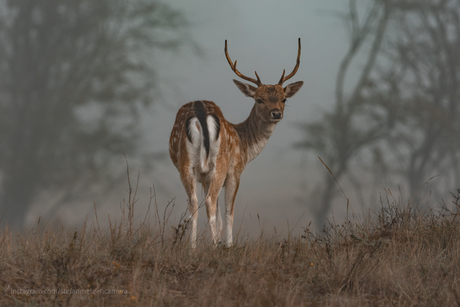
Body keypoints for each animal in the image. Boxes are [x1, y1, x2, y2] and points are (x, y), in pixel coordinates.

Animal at [169, 39, 306, 250]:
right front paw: (227, 245)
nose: (276, 113)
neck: (244, 144)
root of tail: (200, 111)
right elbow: (228, 213)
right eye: (259, 99)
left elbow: (216, 216)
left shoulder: (204, 178)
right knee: (210, 203)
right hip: (219, 164)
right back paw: (215, 248)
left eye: (284, 99)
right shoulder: (235, 171)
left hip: (187, 165)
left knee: (193, 204)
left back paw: (191, 250)